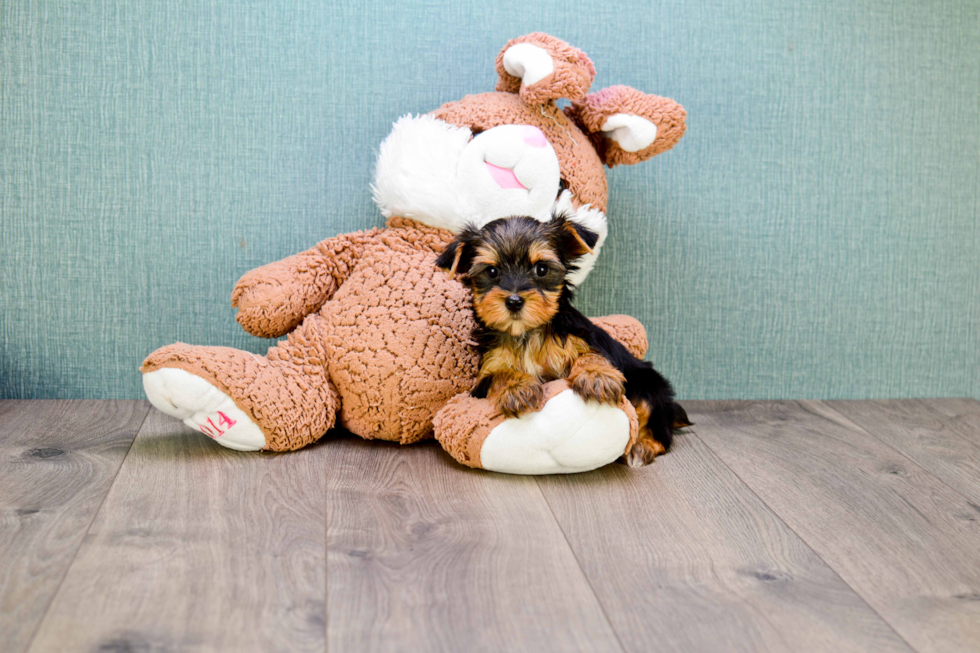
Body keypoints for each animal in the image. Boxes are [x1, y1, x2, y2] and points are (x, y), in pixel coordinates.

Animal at [436, 213, 688, 464]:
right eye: (491, 272)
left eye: (541, 269)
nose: (514, 301)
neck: (527, 333)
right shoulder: (487, 371)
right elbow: (499, 374)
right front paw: (517, 388)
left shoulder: (581, 339)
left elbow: (590, 355)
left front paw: (596, 376)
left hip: (650, 386)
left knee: (659, 428)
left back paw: (642, 447)